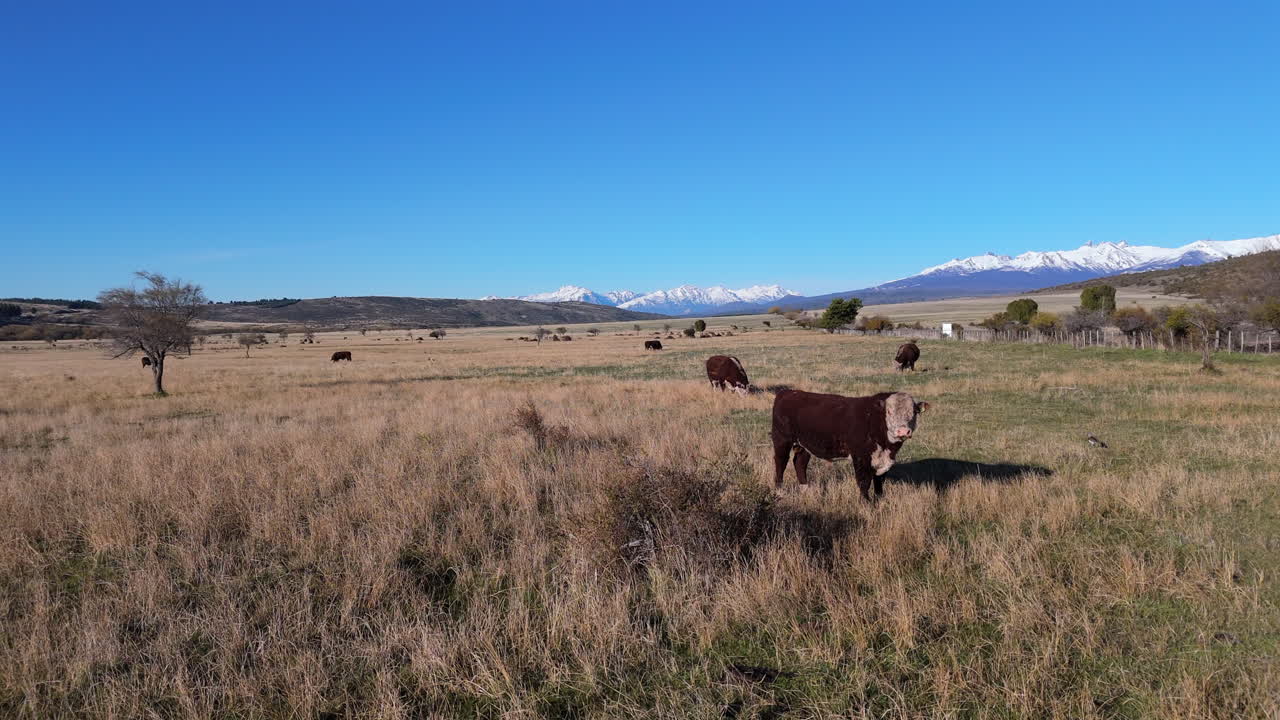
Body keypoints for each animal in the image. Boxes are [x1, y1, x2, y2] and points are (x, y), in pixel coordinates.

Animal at [770, 389, 929, 502]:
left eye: (914, 412)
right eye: (889, 411)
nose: (903, 431)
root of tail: (788, 392)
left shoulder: (884, 459)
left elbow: (879, 482)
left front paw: (880, 501)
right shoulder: (860, 456)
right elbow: (864, 481)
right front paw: (866, 504)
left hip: (804, 444)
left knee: (800, 463)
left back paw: (805, 489)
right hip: (782, 440)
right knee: (780, 463)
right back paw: (779, 491)